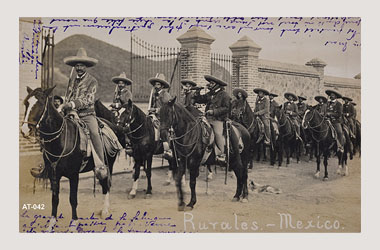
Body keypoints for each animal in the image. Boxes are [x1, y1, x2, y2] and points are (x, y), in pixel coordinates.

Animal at [20, 87, 121, 231]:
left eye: (40, 104)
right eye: (26, 103)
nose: (25, 130)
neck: (61, 140)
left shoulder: (74, 175)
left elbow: (73, 199)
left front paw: (74, 223)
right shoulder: (53, 174)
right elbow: (55, 198)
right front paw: (51, 223)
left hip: (108, 165)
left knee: (106, 184)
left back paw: (105, 211)